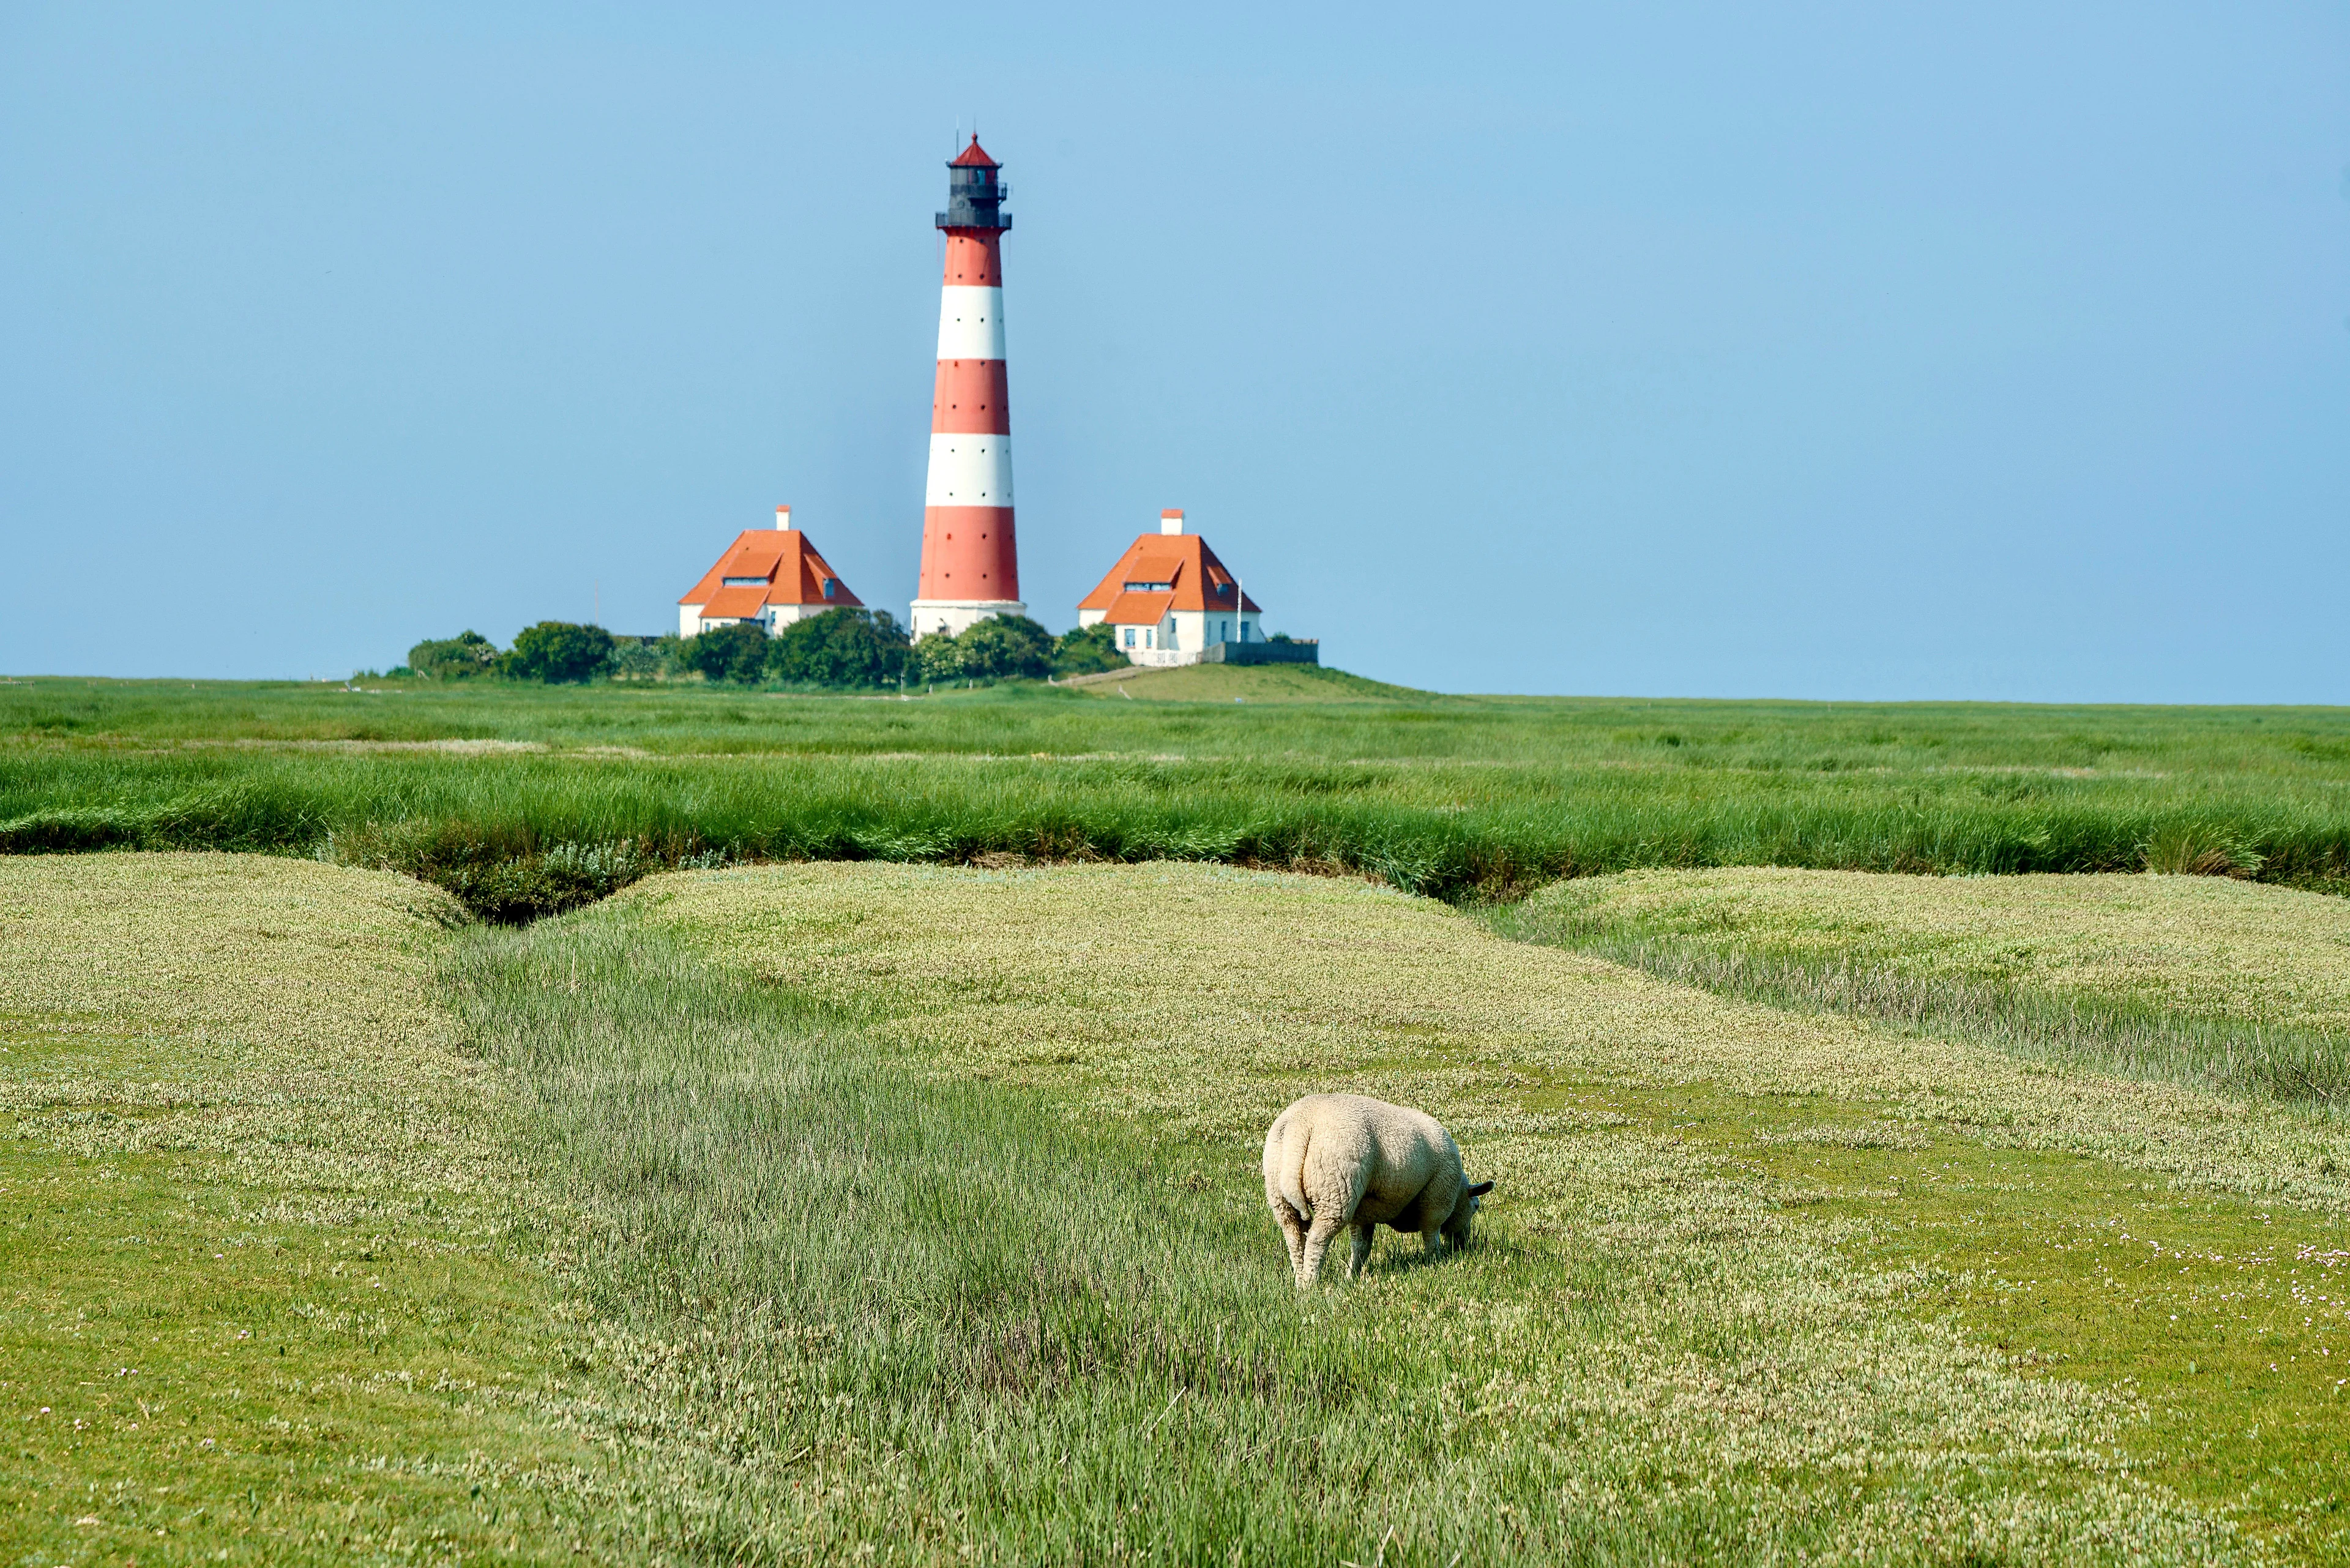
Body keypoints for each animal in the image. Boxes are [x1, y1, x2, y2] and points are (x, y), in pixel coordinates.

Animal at [1261, 1093, 1493, 1287]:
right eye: (1476, 1206)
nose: (1462, 1244)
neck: (1458, 1190)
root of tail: (1301, 1124)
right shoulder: (1437, 1199)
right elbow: (1431, 1235)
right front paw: (1434, 1261)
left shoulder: (1363, 1211)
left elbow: (1361, 1246)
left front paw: (1353, 1275)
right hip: (1335, 1190)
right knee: (1317, 1240)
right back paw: (1310, 1283)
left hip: (1281, 1196)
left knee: (1294, 1238)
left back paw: (1299, 1279)